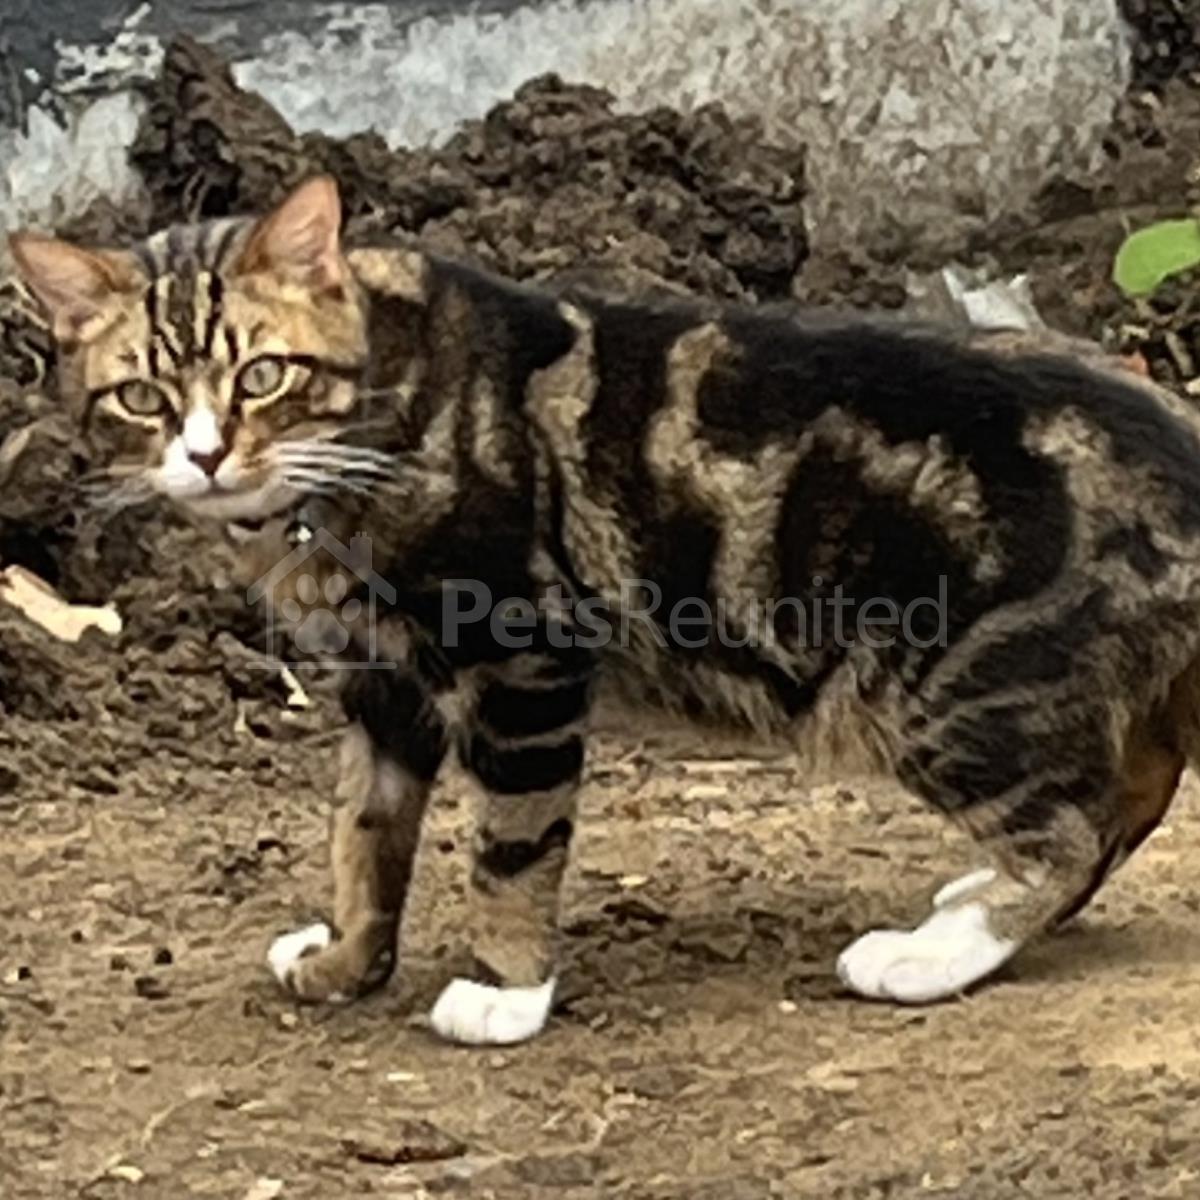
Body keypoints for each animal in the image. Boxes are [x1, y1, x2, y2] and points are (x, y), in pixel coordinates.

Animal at [13, 175, 1200, 1046]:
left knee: (1072, 824)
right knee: (1127, 795)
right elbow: (363, 834)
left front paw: (505, 991)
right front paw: (349, 961)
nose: (206, 456)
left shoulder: (520, 664)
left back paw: (929, 953)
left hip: (947, 686)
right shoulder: (383, 684)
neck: (376, 413)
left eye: (262, 375)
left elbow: (510, 845)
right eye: (141, 397)